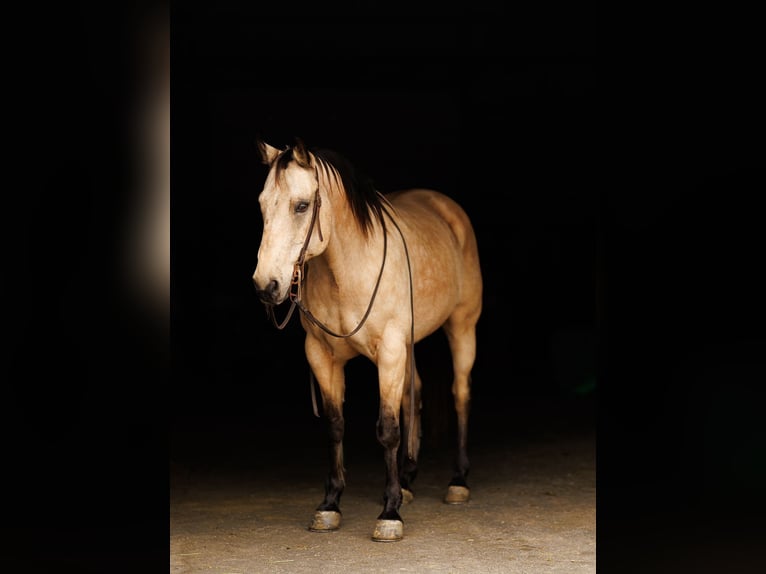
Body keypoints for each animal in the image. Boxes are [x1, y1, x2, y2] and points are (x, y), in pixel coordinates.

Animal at [255, 137, 484, 544]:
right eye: (263, 204)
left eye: (301, 205)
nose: (267, 285)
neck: (346, 271)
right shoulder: (321, 355)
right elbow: (335, 424)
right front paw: (330, 504)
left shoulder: (390, 351)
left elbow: (388, 429)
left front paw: (390, 512)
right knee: (415, 394)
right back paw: (408, 480)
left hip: (461, 327)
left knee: (460, 395)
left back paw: (457, 481)